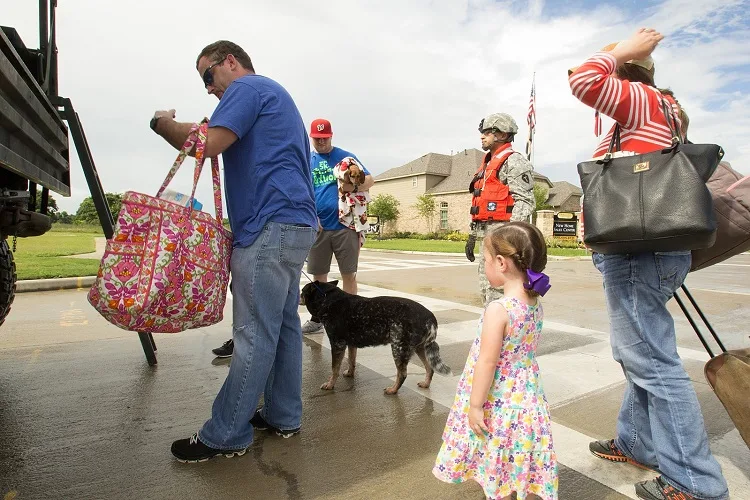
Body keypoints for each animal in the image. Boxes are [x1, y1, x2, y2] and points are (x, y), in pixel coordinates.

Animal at [300, 282, 452, 394]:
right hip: (420, 348)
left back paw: (393, 390)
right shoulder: (351, 344)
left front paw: (330, 384)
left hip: (398, 348)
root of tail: (431, 318)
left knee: (402, 374)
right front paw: (350, 373)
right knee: (429, 368)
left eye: (302, 291)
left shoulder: (337, 344)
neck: (327, 298)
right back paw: (425, 383)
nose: (298, 296)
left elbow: (334, 368)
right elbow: (351, 360)